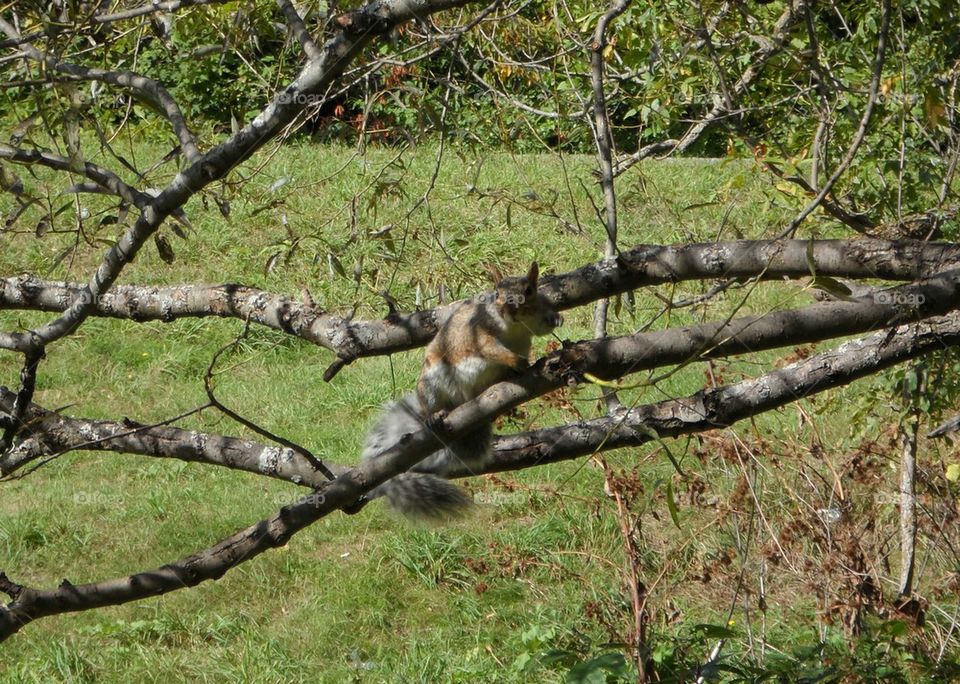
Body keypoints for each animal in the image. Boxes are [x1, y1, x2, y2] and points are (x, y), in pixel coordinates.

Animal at [359, 261, 562, 519]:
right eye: (497, 292)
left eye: (529, 290)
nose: (511, 308)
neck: (514, 327)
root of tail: (466, 402)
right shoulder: (479, 330)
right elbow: (490, 348)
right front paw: (514, 360)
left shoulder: (533, 322)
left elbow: (541, 326)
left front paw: (556, 318)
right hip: (432, 384)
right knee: (432, 404)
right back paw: (434, 416)